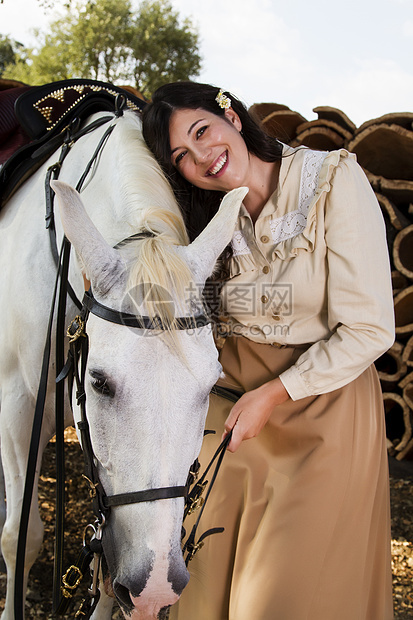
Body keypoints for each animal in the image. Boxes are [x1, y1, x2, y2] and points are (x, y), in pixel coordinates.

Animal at [0, 108, 246, 620]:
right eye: (99, 383)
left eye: (210, 387)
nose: (156, 587)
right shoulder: (15, 406)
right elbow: (20, 537)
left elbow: (108, 582)